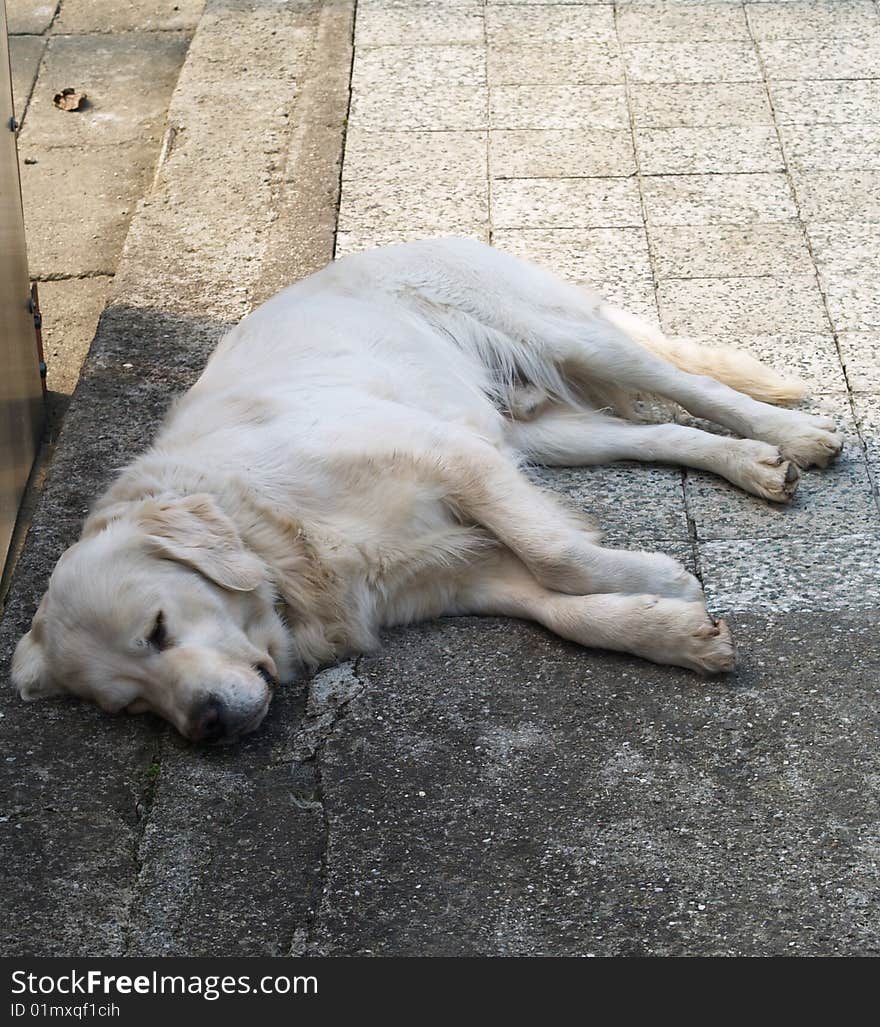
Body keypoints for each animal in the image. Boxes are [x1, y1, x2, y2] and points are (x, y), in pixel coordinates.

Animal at [10, 237, 842, 743]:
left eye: (157, 628)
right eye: (130, 704)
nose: (206, 725)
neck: (279, 541)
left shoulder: (451, 457)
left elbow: (557, 554)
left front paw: (664, 577)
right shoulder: (453, 569)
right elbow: (563, 609)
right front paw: (674, 631)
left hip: (568, 340)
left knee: (691, 384)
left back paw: (798, 434)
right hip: (541, 431)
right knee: (662, 433)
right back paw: (757, 464)